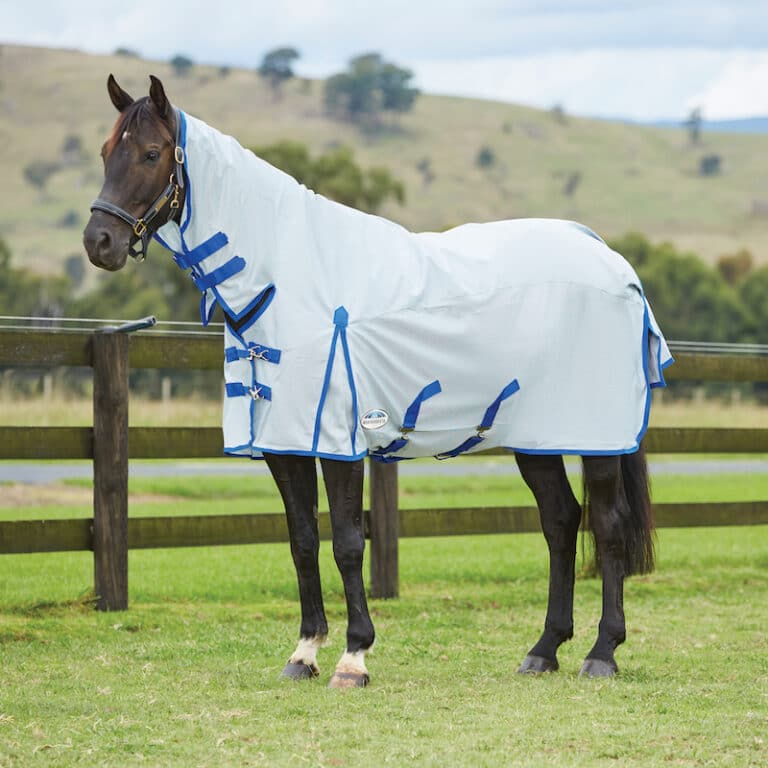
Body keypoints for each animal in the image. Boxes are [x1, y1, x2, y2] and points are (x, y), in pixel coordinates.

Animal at [83, 75, 672, 688]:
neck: (287, 282)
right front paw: (304, 653)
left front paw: (353, 657)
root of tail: (610, 260)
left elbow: (346, 543)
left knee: (607, 525)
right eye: (105, 152)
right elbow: (301, 541)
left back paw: (601, 653)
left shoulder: (339, 444)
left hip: (597, 438)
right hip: (538, 439)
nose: (98, 242)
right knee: (560, 522)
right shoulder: (285, 445)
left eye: (152, 153)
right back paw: (544, 649)